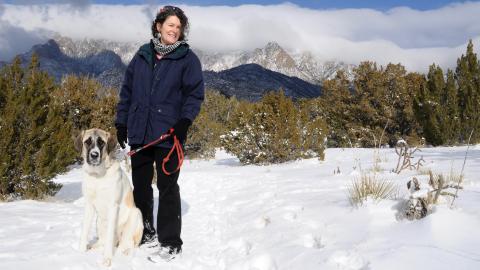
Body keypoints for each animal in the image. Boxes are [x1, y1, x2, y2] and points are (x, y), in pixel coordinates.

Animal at [74, 128, 143, 266]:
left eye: (101, 142)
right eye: (87, 142)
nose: (94, 155)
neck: (97, 176)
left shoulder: (113, 206)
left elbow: (110, 237)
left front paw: (107, 259)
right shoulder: (89, 205)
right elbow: (84, 230)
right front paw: (81, 252)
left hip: (136, 214)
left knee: (128, 244)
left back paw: (125, 254)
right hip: (99, 221)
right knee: (104, 241)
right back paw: (93, 247)